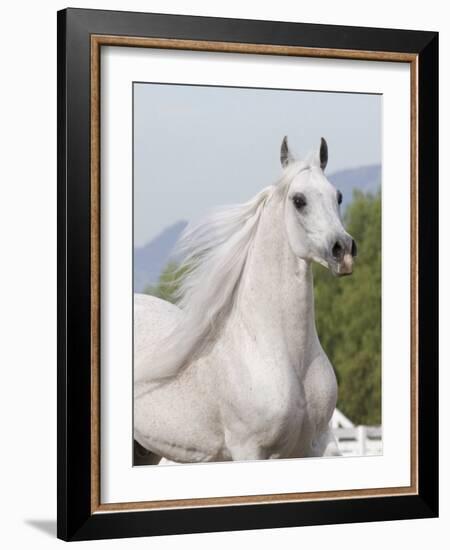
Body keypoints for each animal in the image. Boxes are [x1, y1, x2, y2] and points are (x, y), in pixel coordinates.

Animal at [132, 138, 356, 466]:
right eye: (298, 200)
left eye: (337, 196)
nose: (344, 250)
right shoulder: (249, 449)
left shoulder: (320, 444)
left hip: (144, 449)